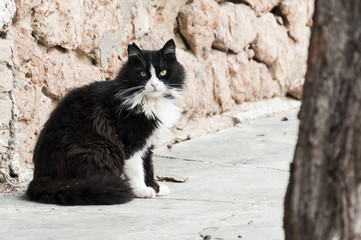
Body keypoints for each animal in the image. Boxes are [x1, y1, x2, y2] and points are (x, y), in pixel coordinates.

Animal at [26, 40, 184, 205]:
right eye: (143, 74)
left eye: (163, 73)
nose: (154, 85)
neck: (150, 102)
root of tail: (40, 177)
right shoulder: (131, 141)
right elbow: (137, 169)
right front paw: (142, 190)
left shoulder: (148, 143)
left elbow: (148, 167)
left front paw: (156, 188)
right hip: (102, 149)